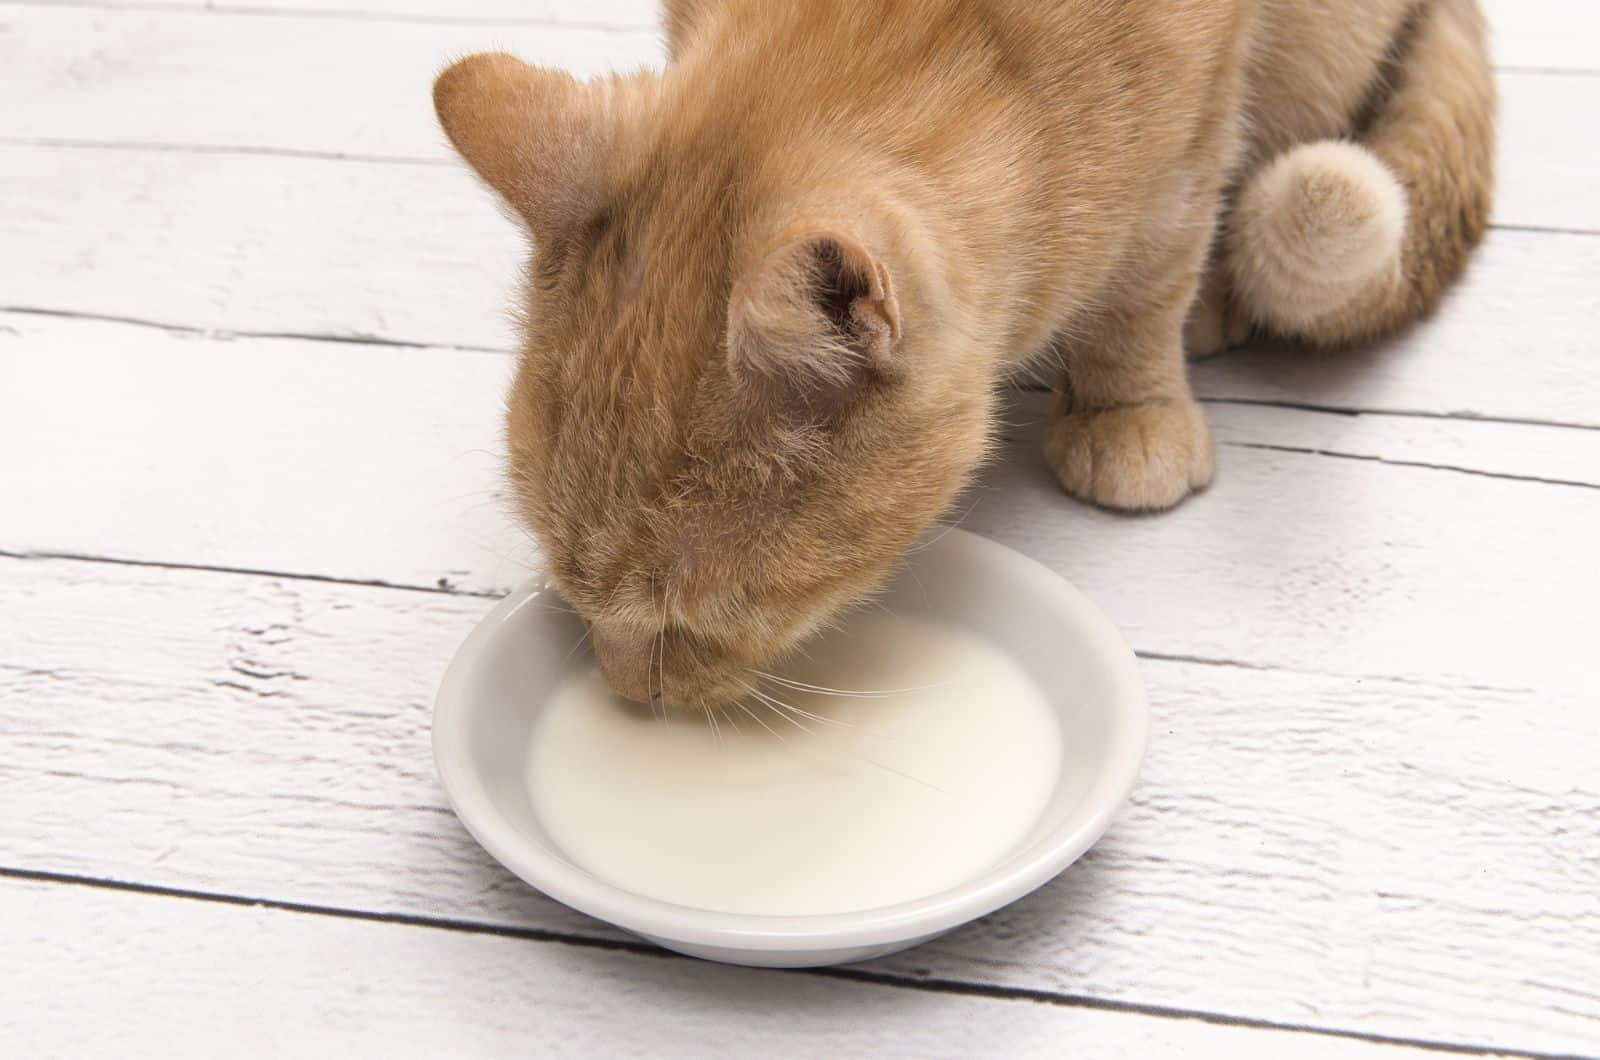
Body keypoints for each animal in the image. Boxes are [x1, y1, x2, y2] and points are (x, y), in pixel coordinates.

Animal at [432, 4, 1491, 714]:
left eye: (692, 616)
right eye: (567, 582)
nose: (625, 691)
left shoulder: (1194, 118)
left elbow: (1149, 277)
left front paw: (1127, 406)